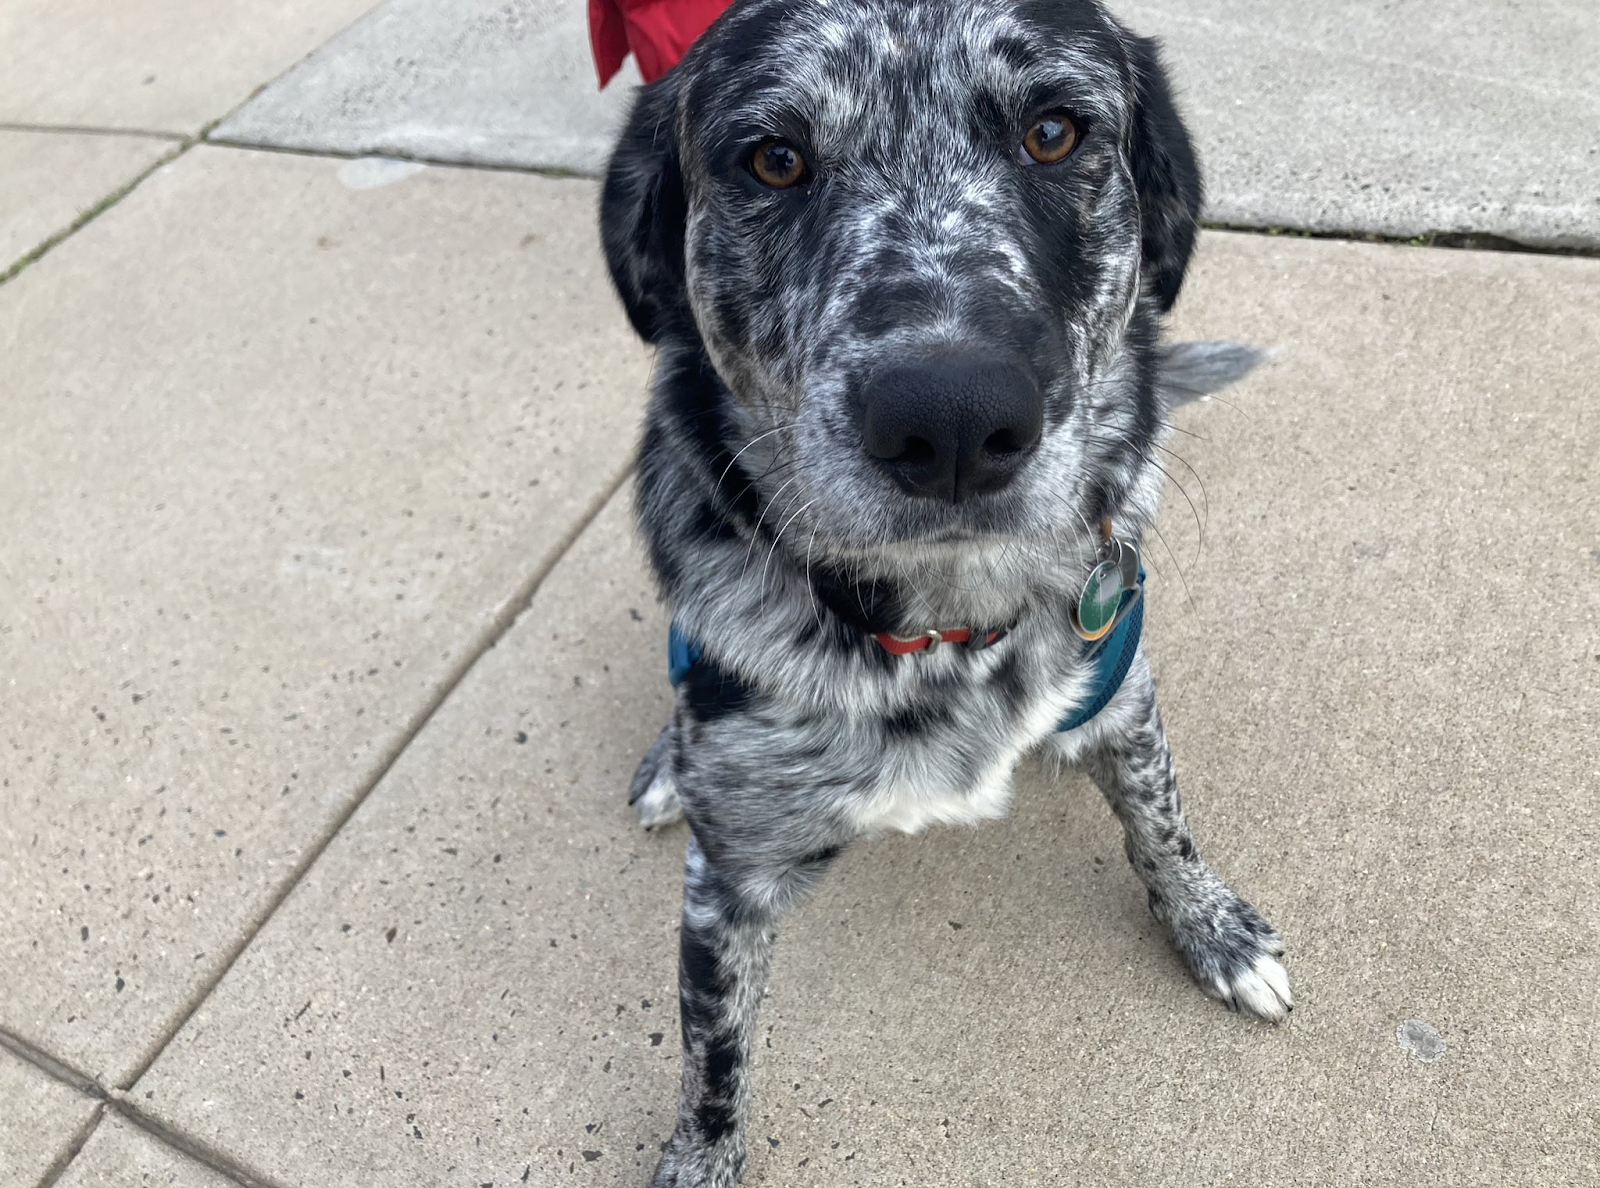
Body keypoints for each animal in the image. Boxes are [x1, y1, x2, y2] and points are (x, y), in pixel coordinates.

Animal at [598, 0, 1290, 1183]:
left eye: (1054, 133)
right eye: (772, 158)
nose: (954, 420)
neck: (941, 629)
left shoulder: (1123, 689)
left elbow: (1162, 821)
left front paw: (1212, 925)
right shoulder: (725, 885)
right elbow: (714, 1054)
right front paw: (701, 1156)